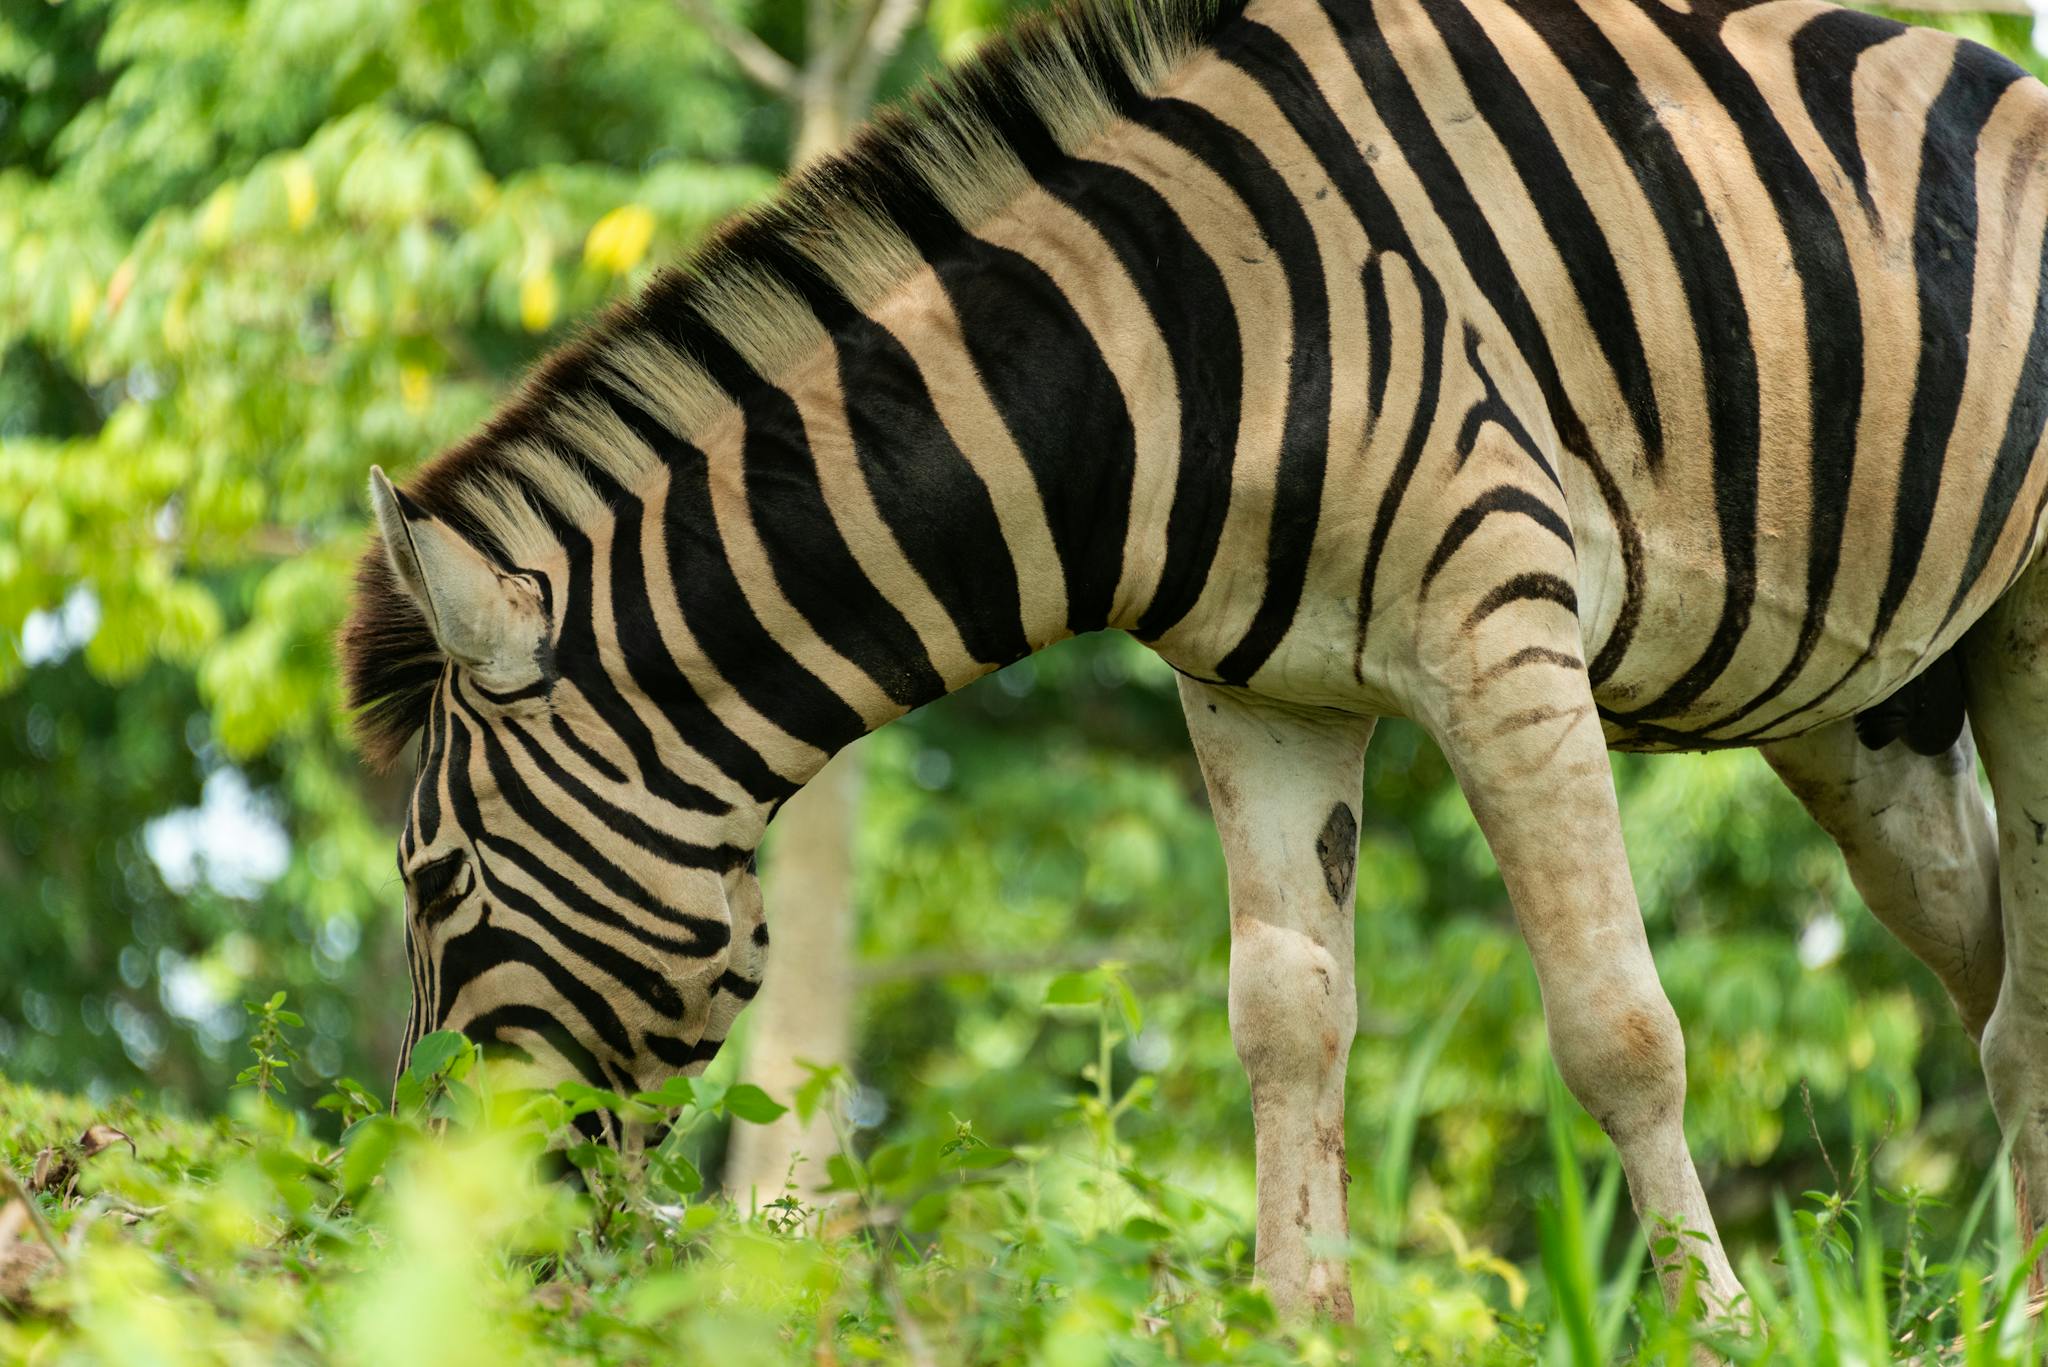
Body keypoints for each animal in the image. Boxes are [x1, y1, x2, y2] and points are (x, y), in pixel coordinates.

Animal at [339, 0, 2048, 1328]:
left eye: (432, 882)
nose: (456, 1240)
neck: (1149, 360)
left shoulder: (1502, 614)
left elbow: (1618, 1026)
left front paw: (1718, 1328)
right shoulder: (1262, 692)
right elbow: (1286, 1023)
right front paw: (1297, 1325)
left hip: (2029, 629)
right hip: (1869, 713)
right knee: (1988, 960)